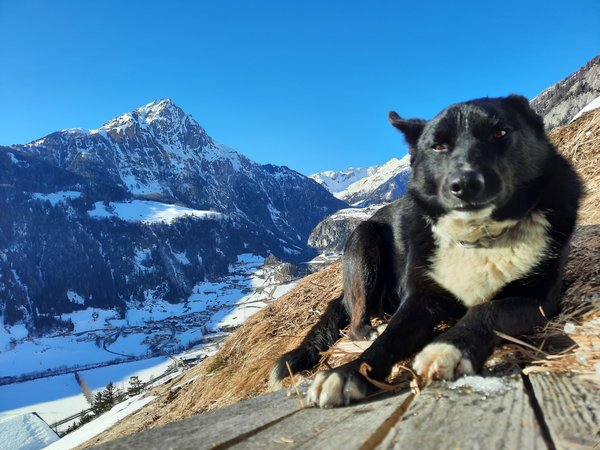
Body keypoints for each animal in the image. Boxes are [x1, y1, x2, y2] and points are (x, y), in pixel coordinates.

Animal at [270, 95, 580, 408]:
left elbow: (488, 309)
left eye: (500, 132)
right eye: (438, 145)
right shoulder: (420, 298)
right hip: (363, 240)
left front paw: (448, 347)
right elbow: (391, 337)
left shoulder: (540, 299)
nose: (464, 184)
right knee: (357, 322)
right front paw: (349, 372)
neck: (480, 237)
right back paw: (370, 330)